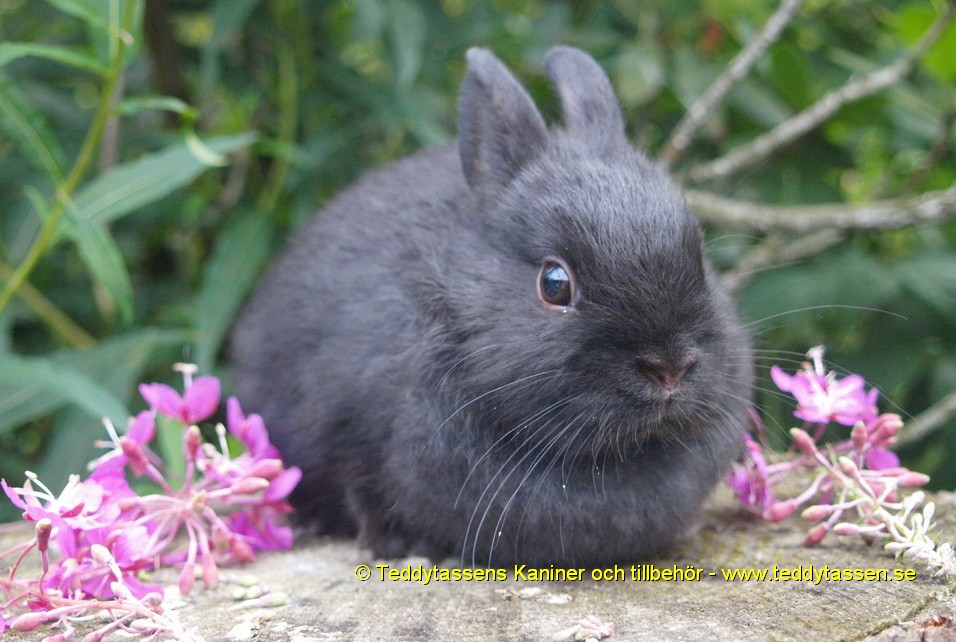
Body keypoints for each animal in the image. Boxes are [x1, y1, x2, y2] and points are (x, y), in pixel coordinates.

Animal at [233, 46, 756, 564]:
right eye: (554, 284)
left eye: (699, 256)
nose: (669, 368)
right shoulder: (348, 426)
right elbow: (362, 489)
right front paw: (397, 547)